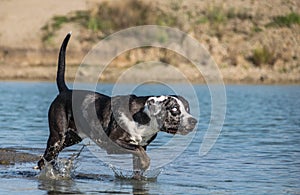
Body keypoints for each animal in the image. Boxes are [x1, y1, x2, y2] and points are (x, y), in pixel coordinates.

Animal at [37, 32, 197, 173]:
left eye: (188, 109)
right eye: (175, 110)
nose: (194, 121)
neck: (144, 117)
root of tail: (65, 91)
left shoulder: (138, 149)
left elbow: (139, 156)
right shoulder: (114, 143)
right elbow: (140, 151)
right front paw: (146, 163)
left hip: (71, 138)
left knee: (45, 160)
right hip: (58, 138)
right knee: (45, 158)